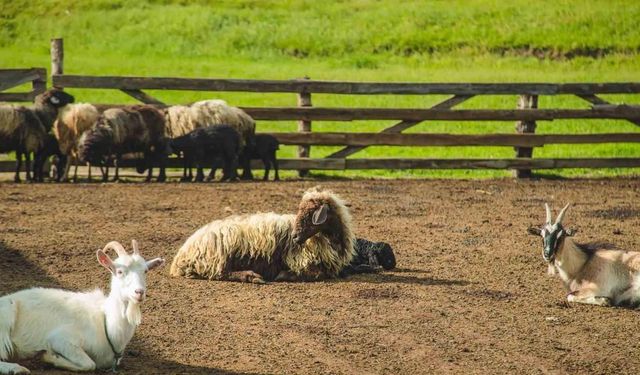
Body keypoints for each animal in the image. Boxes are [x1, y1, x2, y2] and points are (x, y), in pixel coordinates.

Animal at [0, 241, 165, 374]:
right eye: (119, 271)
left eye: (145, 271)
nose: (139, 292)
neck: (105, 322)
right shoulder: (60, 339)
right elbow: (89, 364)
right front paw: (50, 357)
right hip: (6, 317)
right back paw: (17, 369)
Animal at [170, 188, 358, 284]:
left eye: (310, 214)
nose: (295, 237)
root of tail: (180, 257)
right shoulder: (300, 260)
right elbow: (317, 274)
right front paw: (284, 275)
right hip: (220, 254)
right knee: (220, 273)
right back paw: (251, 276)